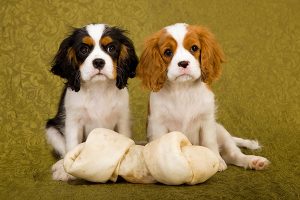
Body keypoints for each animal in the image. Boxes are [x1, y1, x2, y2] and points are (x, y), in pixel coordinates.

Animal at [137, 23, 270, 170]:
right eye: (168, 52)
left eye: (194, 48)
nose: (183, 63)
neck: (183, 89)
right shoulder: (158, 123)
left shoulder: (207, 121)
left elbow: (209, 141)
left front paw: (216, 161)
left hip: (221, 131)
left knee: (234, 155)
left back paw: (254, 161)